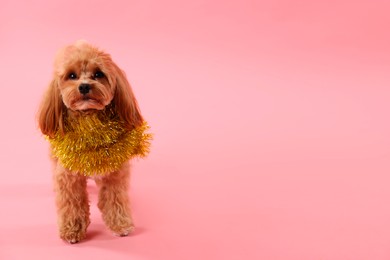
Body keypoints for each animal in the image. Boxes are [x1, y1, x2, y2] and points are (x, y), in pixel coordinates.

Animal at [38, 39, 148, 243]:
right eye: (71, 76)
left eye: (98, 74)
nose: (84, 86)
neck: (90, 122)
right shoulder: (68, 177)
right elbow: (72, 203)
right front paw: (72, 230)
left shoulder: (115, 174)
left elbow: (115, 199)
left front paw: (120, 224)